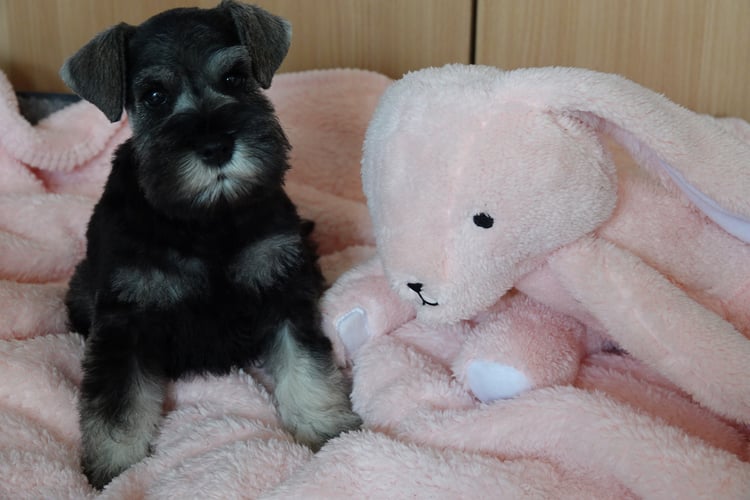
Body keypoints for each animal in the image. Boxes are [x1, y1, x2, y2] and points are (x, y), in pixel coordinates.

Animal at [60, 0, 361, 488]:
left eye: (235, 78)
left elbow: (306, 364)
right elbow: (117, 401)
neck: (207, 219)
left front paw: (327, 428)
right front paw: (114, 468)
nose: (216, 146)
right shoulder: (125, 319)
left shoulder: (282, 288)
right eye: (155, 96)